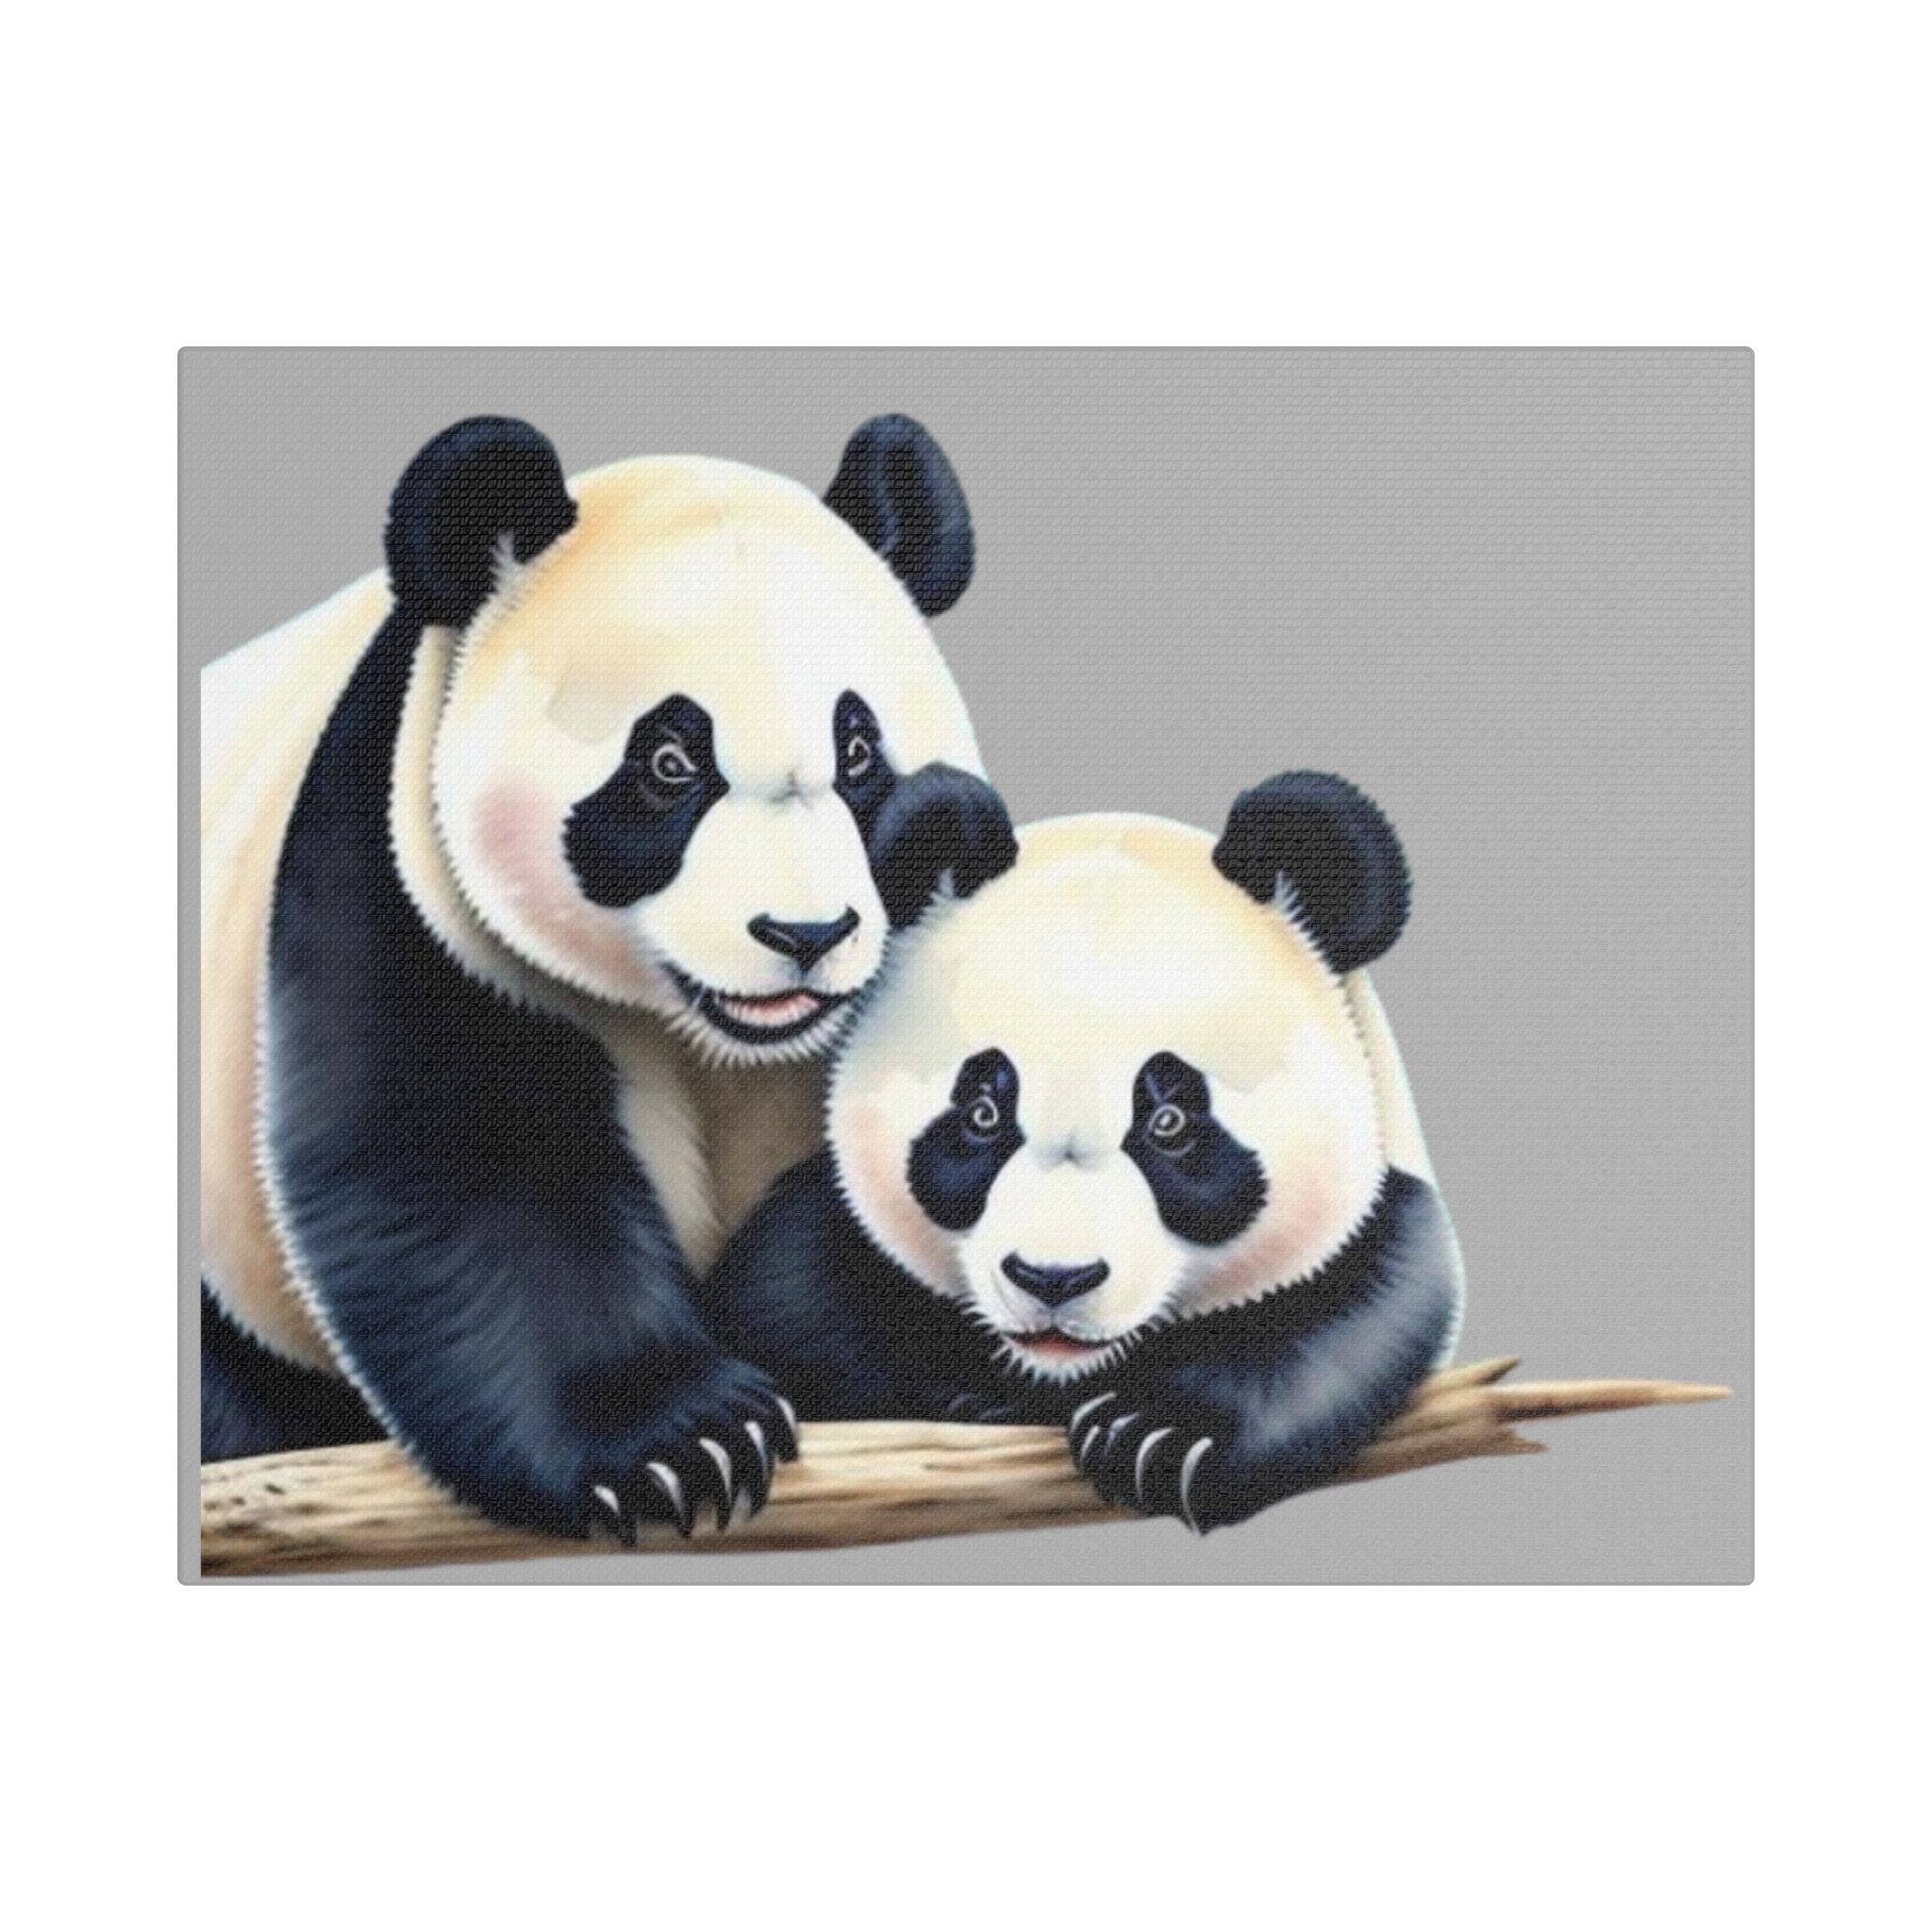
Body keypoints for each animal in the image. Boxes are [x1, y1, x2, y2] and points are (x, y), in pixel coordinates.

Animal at [200, 413, 1017, 1540]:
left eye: (857, 753)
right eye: (670, 763)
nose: (806, 932)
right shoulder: (402, 869)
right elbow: (468, 1170)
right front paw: (682, 1445)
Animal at [700, 773, 1464, 1533]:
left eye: (1169, 1122)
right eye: (982, 1115)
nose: (1053, 1280)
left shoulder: (1378, 1222)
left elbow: (1357, 1320)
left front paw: (1160, 1436)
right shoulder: (821, 1243)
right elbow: (792, 1301)